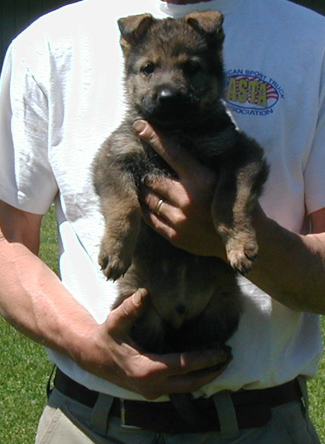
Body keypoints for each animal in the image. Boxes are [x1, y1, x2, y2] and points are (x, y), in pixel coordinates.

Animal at [92, 11, 268, 364]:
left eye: (191, 67)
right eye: (148, 68)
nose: (168, 96)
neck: (177, 132)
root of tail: (178, 313)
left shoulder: (241, 154)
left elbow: (228, 202)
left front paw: (239, 242)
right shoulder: (113, 159)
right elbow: (125, 206)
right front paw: (116, 249)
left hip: (224, 306)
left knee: (195, 339)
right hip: (139, 306)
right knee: (158, 343)